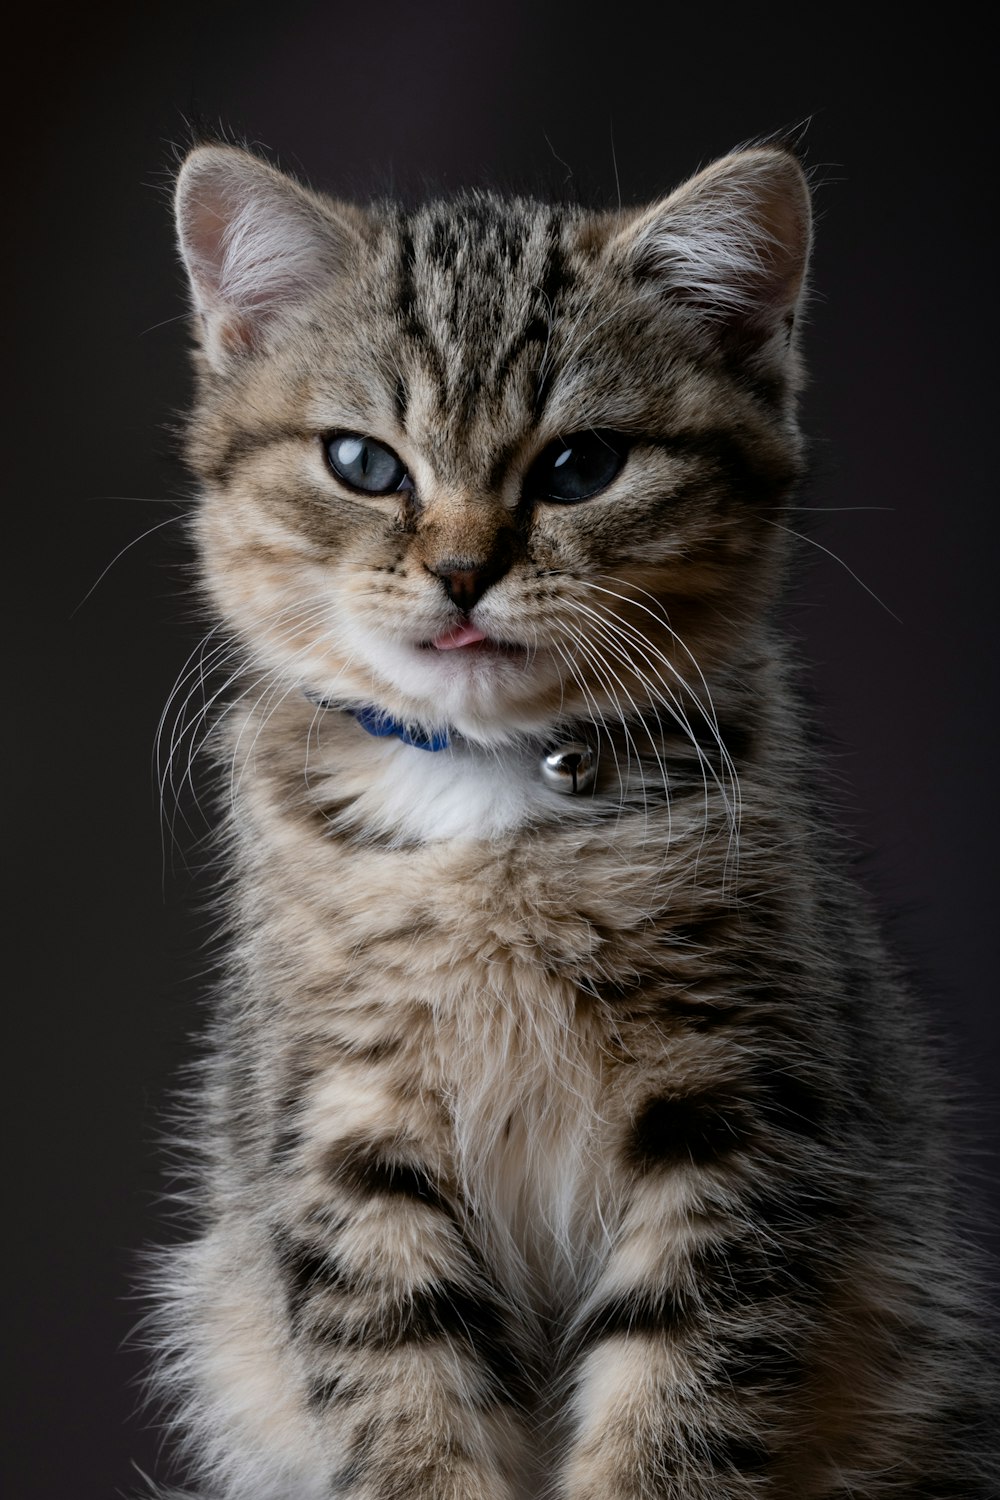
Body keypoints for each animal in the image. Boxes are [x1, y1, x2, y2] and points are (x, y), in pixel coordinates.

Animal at [150, 143, 1000, 1500]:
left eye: (580, 466)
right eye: (364, 464)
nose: (460, 571)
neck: (490, 809)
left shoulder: (739, 1115)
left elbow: (677, 1402)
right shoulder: (343, 1130)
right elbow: (404, 1399)